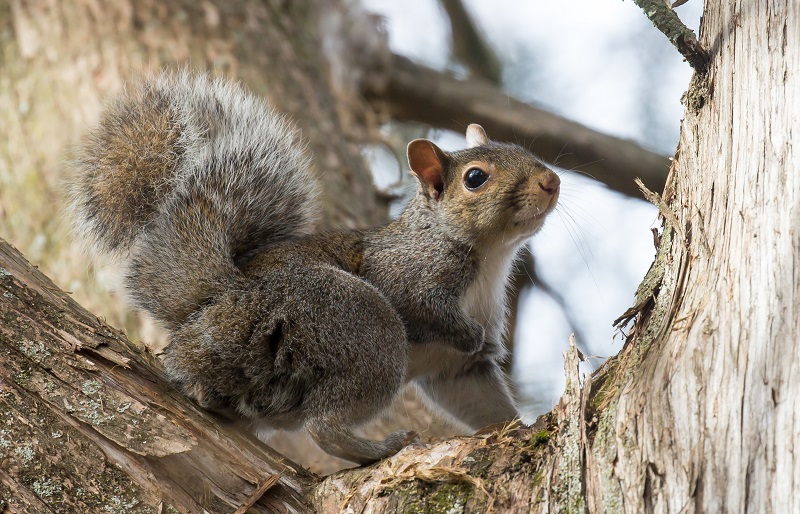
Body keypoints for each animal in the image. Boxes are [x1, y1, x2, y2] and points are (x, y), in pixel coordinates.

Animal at [67, 71, 560, 465]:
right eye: (475, 178)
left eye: (518, 146)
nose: (551, 180)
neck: (490, 259)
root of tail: (216, 303)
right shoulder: (407, 271)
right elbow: (424, 305)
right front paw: (467, 333)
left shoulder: (460, 370)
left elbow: (482, 401)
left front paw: (520, 427)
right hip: (362, 325)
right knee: (324, 427)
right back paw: (381, 447)